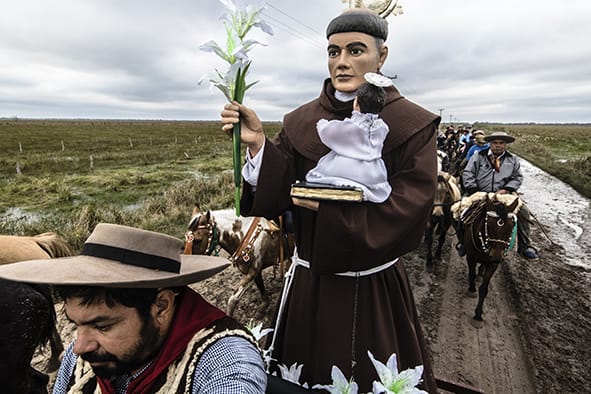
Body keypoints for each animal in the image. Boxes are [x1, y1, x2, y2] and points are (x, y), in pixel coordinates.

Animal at [454, 193, 520, 326]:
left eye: (511, 226)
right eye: (488, 224)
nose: (496, 257)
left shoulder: (493, 265)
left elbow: (484, 289)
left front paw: (478, 315)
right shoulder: (471, 257)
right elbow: (471, 274)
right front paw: (472, 289)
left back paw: (480, 273)